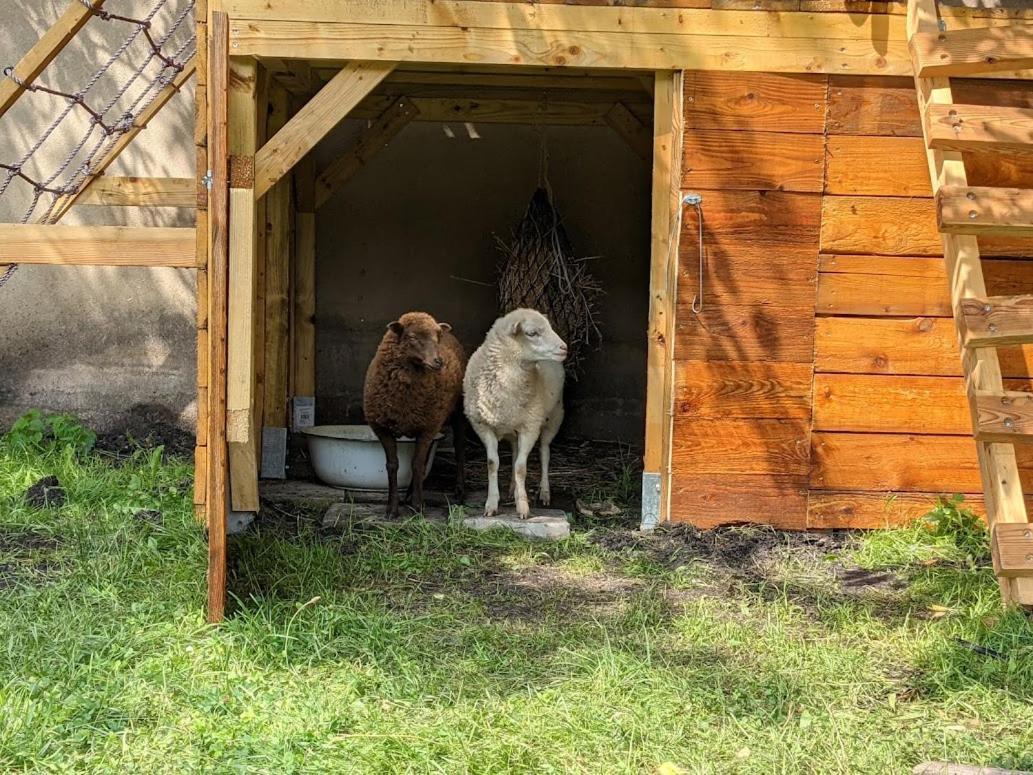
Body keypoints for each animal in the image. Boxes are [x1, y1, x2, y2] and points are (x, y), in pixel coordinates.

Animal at [359, 307, 464, 516]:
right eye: (413, 337)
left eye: (437, 337)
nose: (438, 362)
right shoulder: (383, 427)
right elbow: (393, 465)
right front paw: (392, 508)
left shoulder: (427, 428)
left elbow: (416, 465)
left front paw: (418, 506)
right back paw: (407, 495)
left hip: (457, 412)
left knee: (459, 449)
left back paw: (460, 491)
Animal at [464, 305, 570, 518]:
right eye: (532, 333)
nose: (564, 348)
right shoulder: (483, 426)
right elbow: (492, 462)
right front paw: (491, 504)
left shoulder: (530, 427)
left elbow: (521, 468)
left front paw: (523, 507)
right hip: (513, 426)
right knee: (514, 452)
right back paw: (512, 488)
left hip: (554, 416)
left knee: (544, 452)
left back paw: (544, 492)